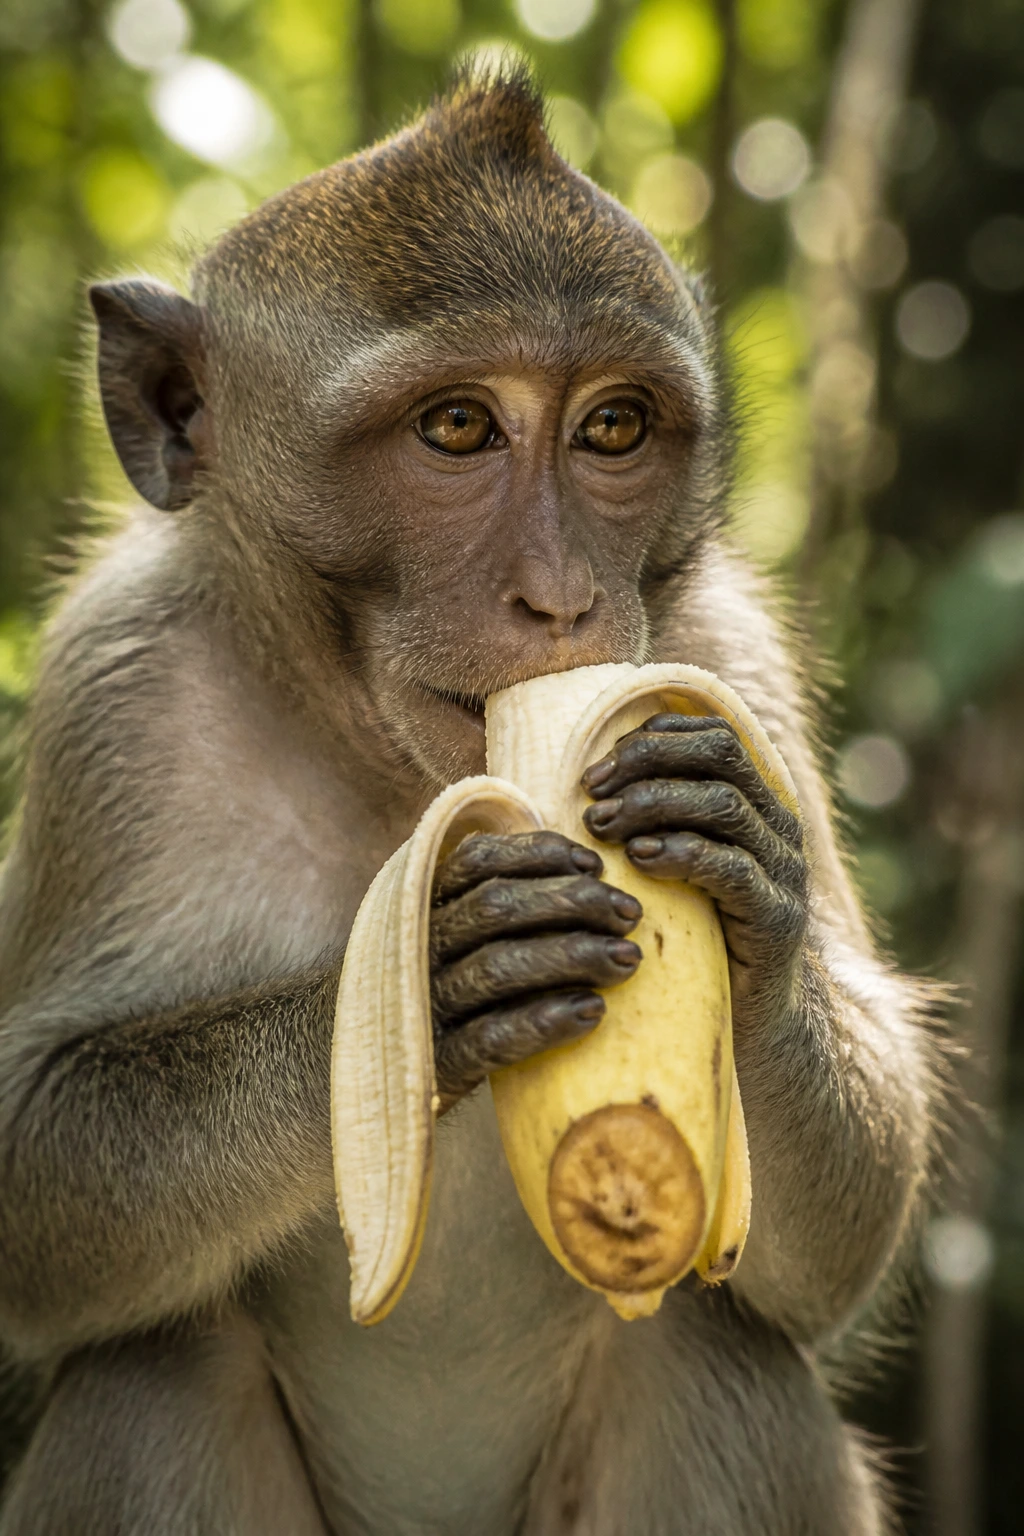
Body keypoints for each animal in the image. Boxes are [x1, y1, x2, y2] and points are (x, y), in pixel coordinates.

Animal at [0, 67, 941, 1535]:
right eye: (456, 427)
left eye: (613, 427)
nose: (559, 598)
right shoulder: (113, 689)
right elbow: (32, 1161)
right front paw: (444, 967)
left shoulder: (733, 666)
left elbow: (832, 1248)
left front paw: (750, 885)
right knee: (148, 1372)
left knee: (721, 1349)